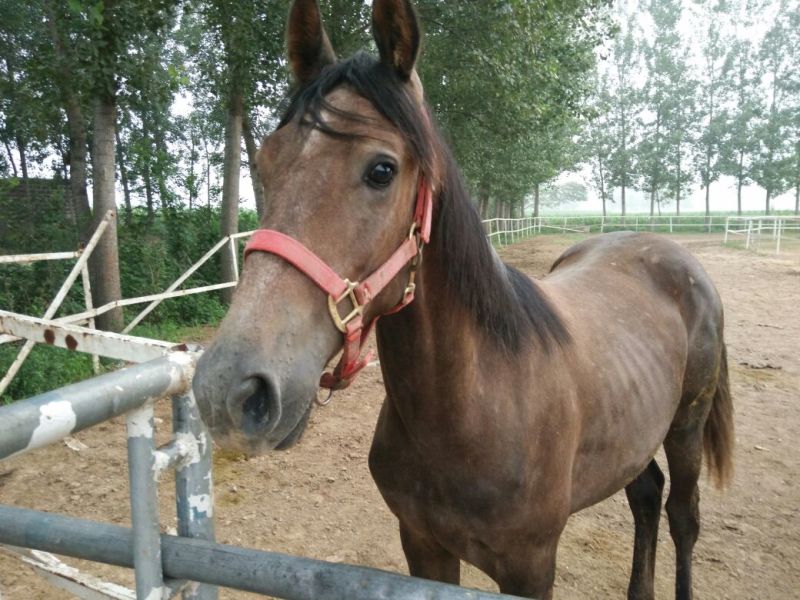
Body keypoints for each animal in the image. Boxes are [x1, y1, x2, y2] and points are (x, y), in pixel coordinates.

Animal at [192, 1, 734, 598]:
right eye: (265, 162)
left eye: (382, 169)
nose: (229, 390)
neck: (474, 406)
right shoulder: (423, 547)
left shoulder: (530, 566)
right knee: (645, 496)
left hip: (685, 426)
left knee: (683, 515)